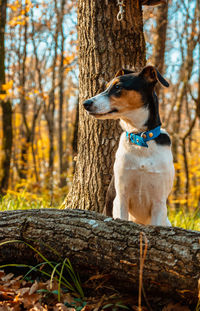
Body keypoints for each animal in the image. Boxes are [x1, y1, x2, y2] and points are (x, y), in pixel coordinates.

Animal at [83, 66, 173, 227]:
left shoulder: (159, 203)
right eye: (107, 87)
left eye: (118, 87)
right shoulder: (121, 198)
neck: (140, 139)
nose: (85, 103)